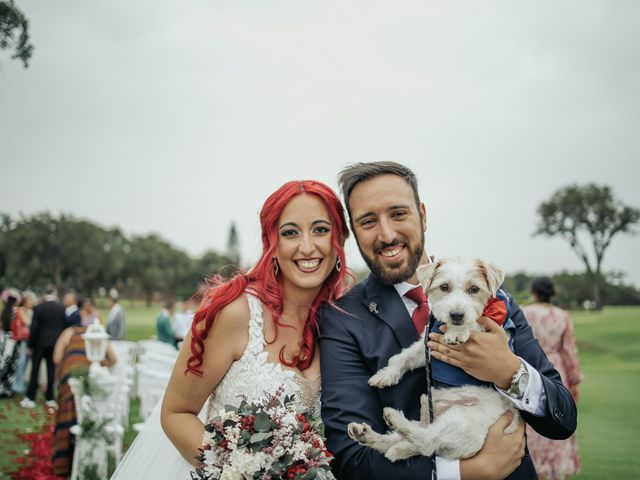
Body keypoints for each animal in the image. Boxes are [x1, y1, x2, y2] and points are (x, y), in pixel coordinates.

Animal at [350, 258, 520, 462]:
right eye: (444, 287)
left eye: (474, 289)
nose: (456, 315)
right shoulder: (427, 344)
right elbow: (404, 357)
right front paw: (385, 375)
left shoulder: (495, 328)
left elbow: (475, 323)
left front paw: (457, 331)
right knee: (405, 440)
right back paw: (367, 434)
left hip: (462, 420)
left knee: (427, 442)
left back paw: (394, 420)